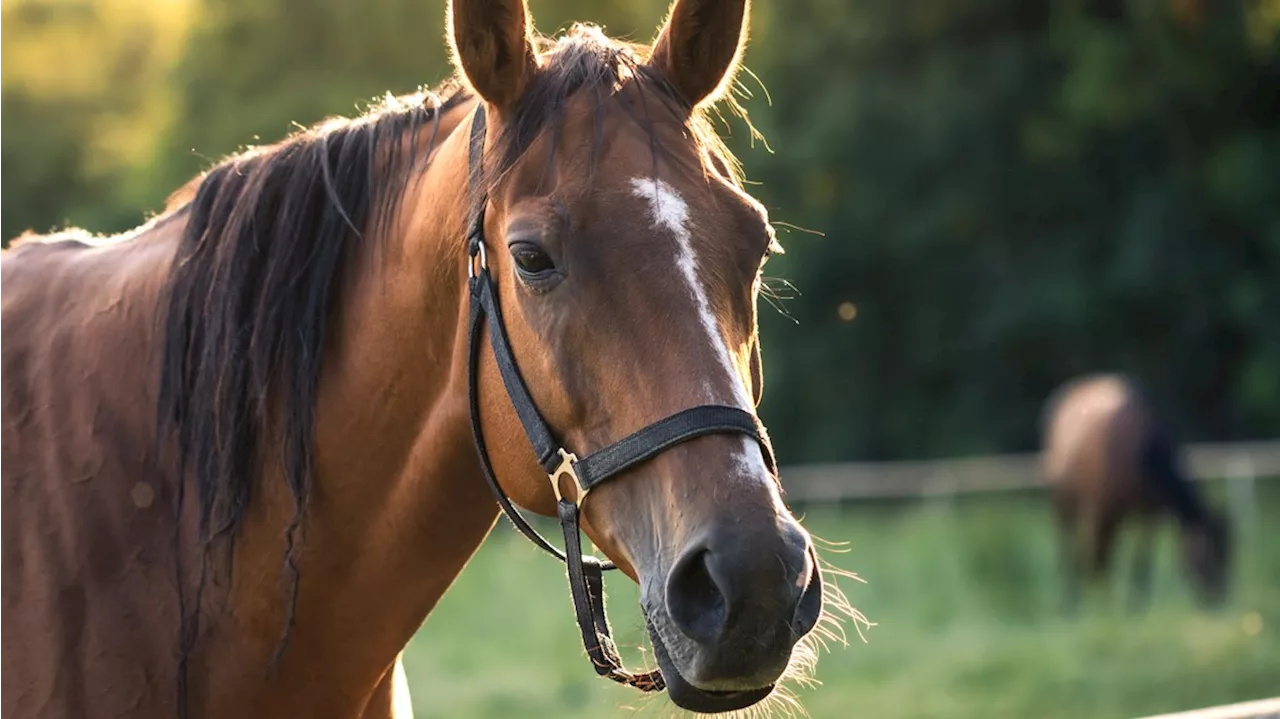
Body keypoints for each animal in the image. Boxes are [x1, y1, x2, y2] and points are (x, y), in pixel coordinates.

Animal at [1044, 368, 1233, 608]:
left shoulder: (1150, 515)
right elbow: (1096, 552)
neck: (1140, 453)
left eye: (1228, 556)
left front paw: (1135, 603)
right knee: (1067, 545)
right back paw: (1068, 599)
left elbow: (1142, 557)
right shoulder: (1102, 508)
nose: (1219, 600)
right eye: (1207, 556)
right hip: (1064, 501)